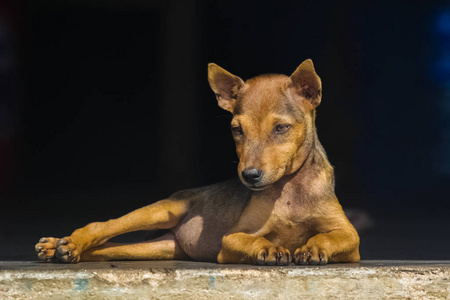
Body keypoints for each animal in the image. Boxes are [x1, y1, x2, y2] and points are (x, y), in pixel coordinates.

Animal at [35, 58, 358, 264]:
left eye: (281, 128)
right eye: (236, 130)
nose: (249, 176)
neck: (290, 188)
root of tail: (176, 236)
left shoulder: (350, 238)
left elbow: (335, 237)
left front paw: (314, 247)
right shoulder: (231, 238)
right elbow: (253, 240)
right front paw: (269, 249)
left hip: (160, 248)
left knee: (109, 247)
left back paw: (60, 249)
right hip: (163, 211)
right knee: (103, 227)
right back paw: (66, 243)